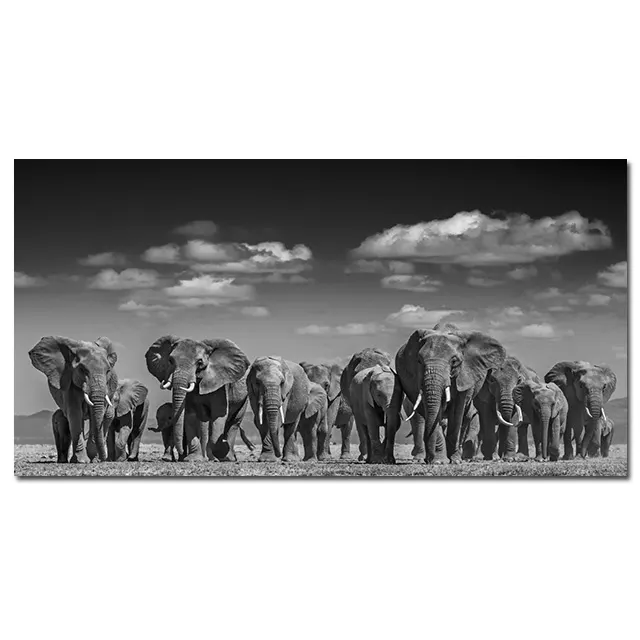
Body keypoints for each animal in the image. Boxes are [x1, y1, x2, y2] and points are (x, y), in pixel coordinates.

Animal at [395, 322, 507, 464]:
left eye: (454, 361)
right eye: (419, 361)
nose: (428, 460)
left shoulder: (465, 376)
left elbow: (456, 411)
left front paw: (455, 461)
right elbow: (432, 412)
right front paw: (439, 461)